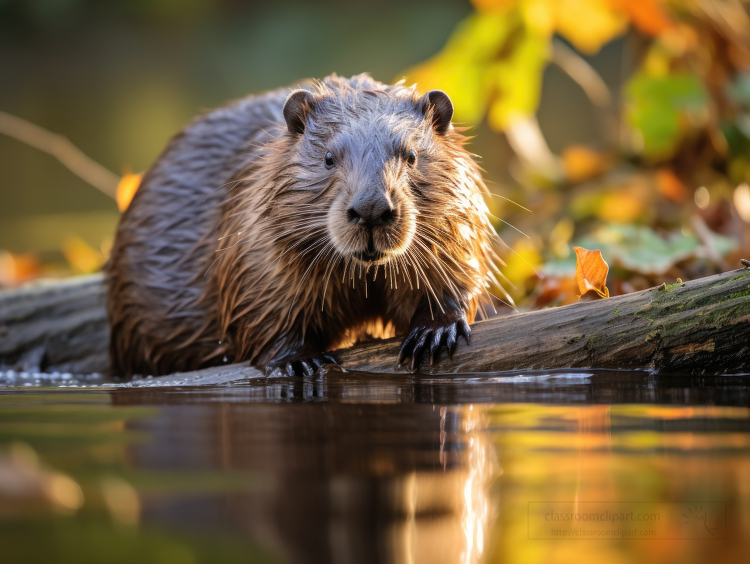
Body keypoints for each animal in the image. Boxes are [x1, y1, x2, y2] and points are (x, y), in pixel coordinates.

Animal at [106, 72, 506, 376]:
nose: (371, 208)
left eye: (410, 155)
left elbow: (455, 272)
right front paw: (299, 362)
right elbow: (264, 307)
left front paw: (434, 332)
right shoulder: (255, 241)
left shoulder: (457, 225)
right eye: (328, 157)